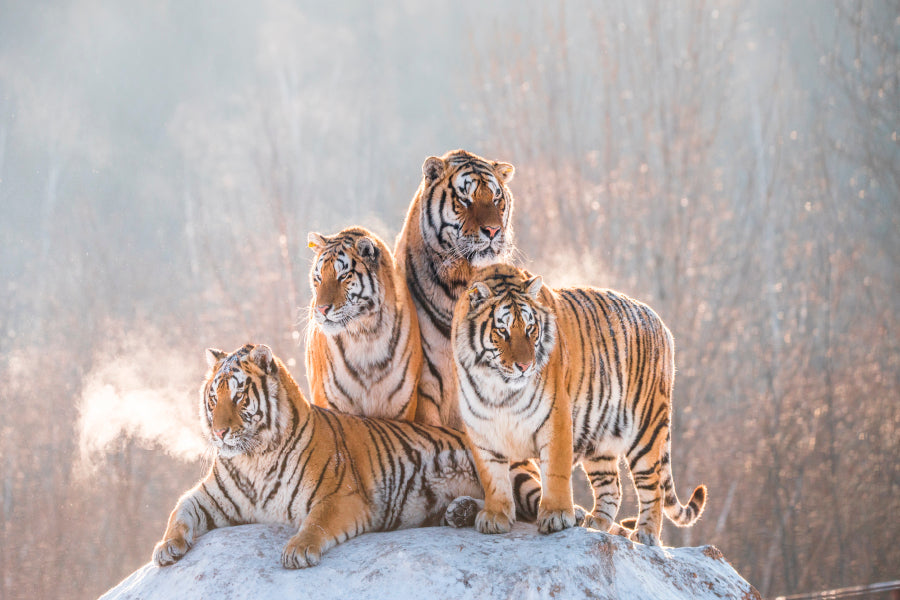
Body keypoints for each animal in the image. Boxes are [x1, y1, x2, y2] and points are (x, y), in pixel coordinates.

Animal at [152, 343, 483, 569]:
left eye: (239, 396)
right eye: (213, 398)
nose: (219, 432)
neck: (253, 459)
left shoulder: (341, 496)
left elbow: (317, 521)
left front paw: (297, 550)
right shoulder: (209, 497)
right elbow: (178, 512)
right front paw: (166, 547)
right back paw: (460, 511)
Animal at [452, 263, 707, 545]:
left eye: (530, 328)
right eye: (502, 331)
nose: (525, 366)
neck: (499, 390)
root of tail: (660, 322)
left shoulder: (556, 419)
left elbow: (555, 472)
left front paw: (556, 516)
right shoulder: (481, 430)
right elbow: (493, 477)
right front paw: (495, 517)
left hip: (646, 430)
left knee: (653, 486)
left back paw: (646, 533)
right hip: (600, 440)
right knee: (612, 488)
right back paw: (596, 523)